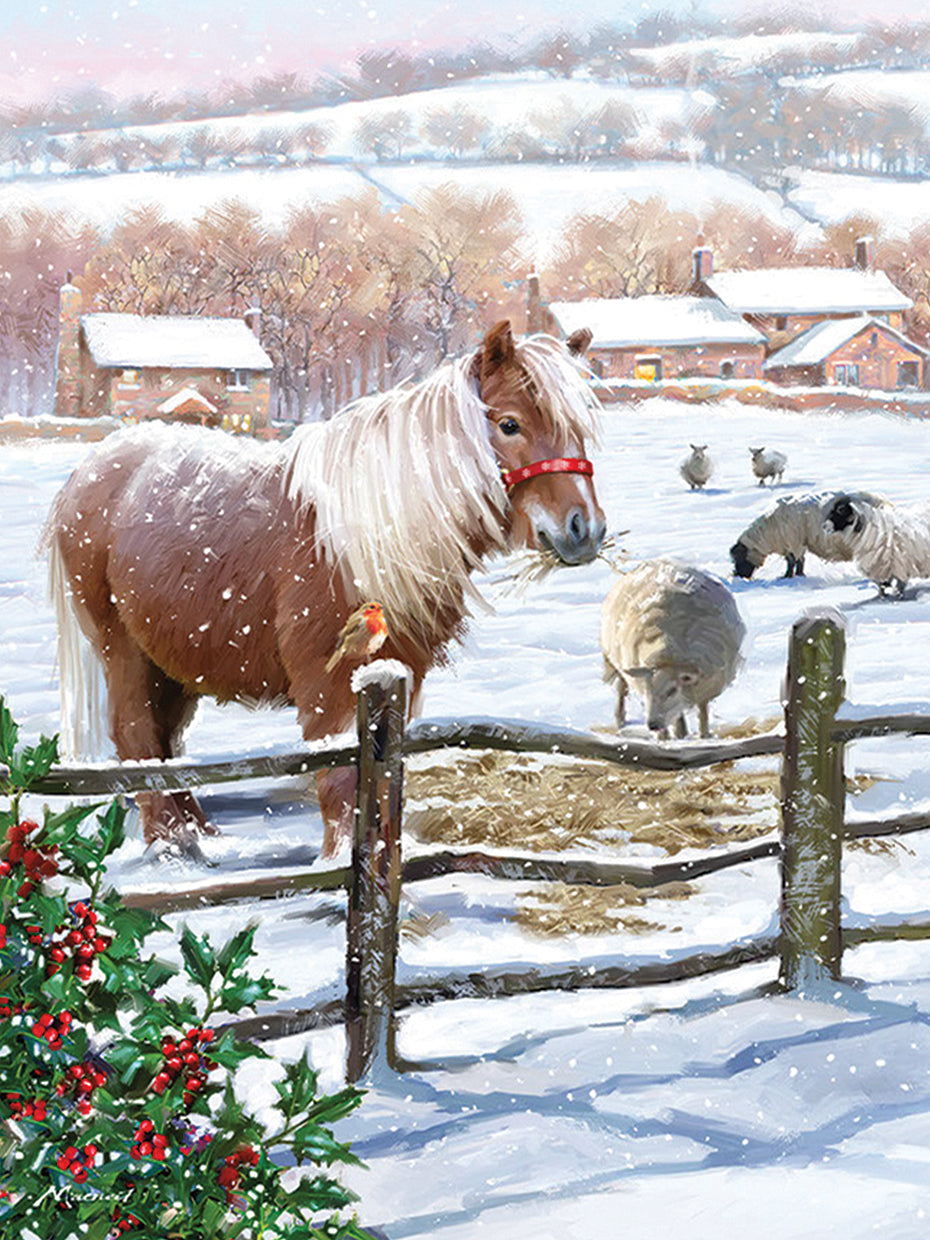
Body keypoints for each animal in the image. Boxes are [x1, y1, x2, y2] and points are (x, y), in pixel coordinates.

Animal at [46, 320, 605, 855]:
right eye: (509, 424)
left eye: (580, 428)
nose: (585, 529)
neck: (372, 533)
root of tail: (91, 470)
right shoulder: (329, 686)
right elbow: (340, 782)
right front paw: (338, 862)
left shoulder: (402, 674)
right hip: (125, 652)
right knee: (136, 737)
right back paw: (172, 843)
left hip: (173, 663)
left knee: (166, 745)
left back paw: (197, 831)